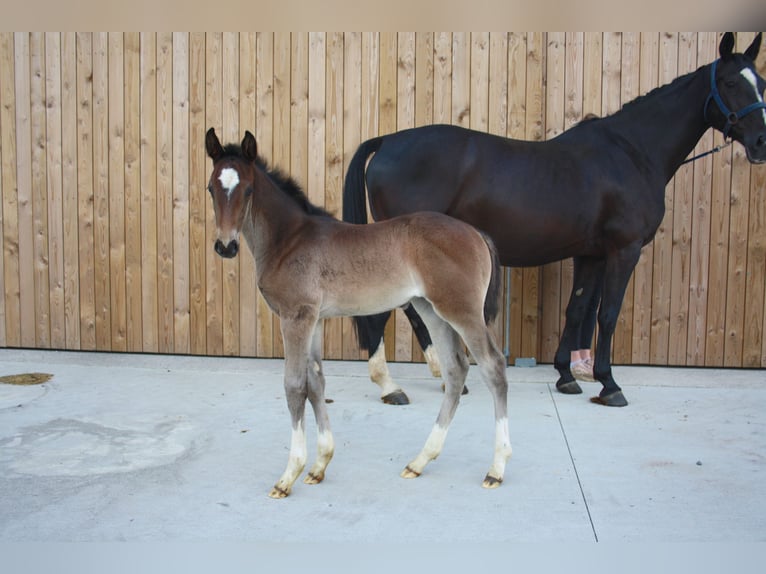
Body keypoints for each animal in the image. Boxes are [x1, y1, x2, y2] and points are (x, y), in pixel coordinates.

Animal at [207, 128, 512, 498]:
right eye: (211, 188)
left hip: (462, 311)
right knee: (456, 370)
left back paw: (496, 469)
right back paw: (420, 461)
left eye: (248, 189)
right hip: (432, 310)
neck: (289, 240)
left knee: (493, 367)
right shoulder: (315, 320)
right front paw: (319, 466)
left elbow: (294, 386)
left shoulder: (295, 317)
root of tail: (476, 233)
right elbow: (316, 383)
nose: (225, 246)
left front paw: (288, 475)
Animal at [344, 32, 766, 410]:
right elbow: (607, 316)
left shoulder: (591, 255)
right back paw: (391, 387)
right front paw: (610, 385)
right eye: (730, 82)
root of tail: (388, 141)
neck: (631, 152)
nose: (761, 142)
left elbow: (577, 311)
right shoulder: (624, 250)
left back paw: (442, 376)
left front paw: (566, 376)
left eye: (760, 83)